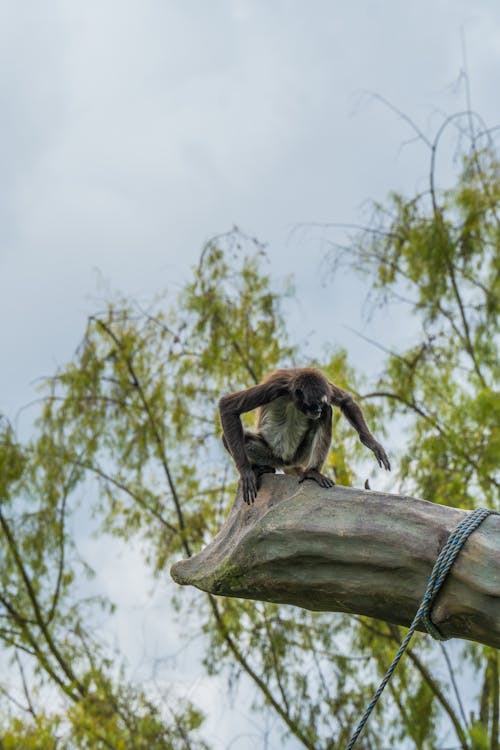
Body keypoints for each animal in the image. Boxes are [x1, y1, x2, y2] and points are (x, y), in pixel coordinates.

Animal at [219, 368, 390, 506]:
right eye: (314, 405)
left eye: (321, 403)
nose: (319, 410)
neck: (292, 398)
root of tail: (287, 462)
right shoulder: (276, 386)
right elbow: (228, 406)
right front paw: (245, 472)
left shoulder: (323, 384)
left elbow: (345, 401)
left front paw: (372, 444)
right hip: (270, 454)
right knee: (226, 437)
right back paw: (260, 468)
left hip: (300, 454)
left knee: (328, 412)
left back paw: (312, 472)